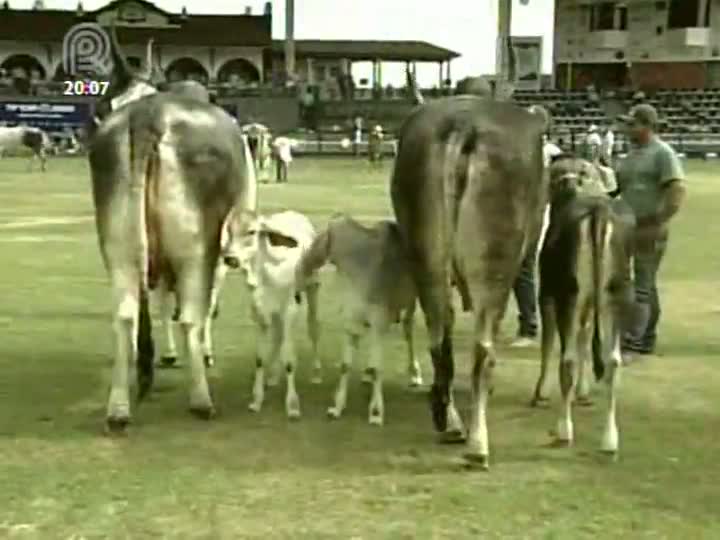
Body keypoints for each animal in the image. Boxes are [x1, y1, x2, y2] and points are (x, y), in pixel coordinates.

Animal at [89, 30, 255, 434]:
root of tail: (147, 115)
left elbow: (161, 304)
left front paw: (163, 356)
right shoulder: (223, 247)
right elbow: (203, 304)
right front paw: (203, 353)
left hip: (117, 244)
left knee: (126, 315)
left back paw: (118, 409)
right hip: (195, 247)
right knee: (191, 313)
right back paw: (201, 399)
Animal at [296, 214, 420, 426]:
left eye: (317, 240)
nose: (301, 268)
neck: (361, 268)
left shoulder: (379, 324)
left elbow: (379, 368)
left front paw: (376, 412)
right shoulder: (351, 324)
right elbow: (345, 366)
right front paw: (337, 407)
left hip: (411, 303)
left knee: (408, 329)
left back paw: (414, 374)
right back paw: (367, 373)